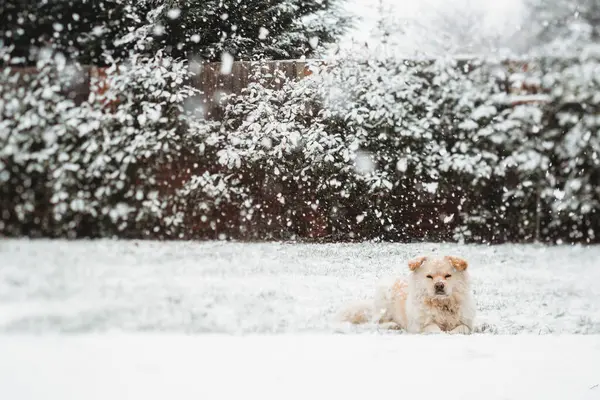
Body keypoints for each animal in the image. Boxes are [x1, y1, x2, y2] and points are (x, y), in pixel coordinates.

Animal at [342, 255, 474, 332]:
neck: (441, 304)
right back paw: (392, 325)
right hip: (384, 303)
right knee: (375, 323)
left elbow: (462, 328)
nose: (439, 285)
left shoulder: (467, 323)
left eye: (447, 276)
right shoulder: (418, 326)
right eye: (429, 276)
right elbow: (434, 328)